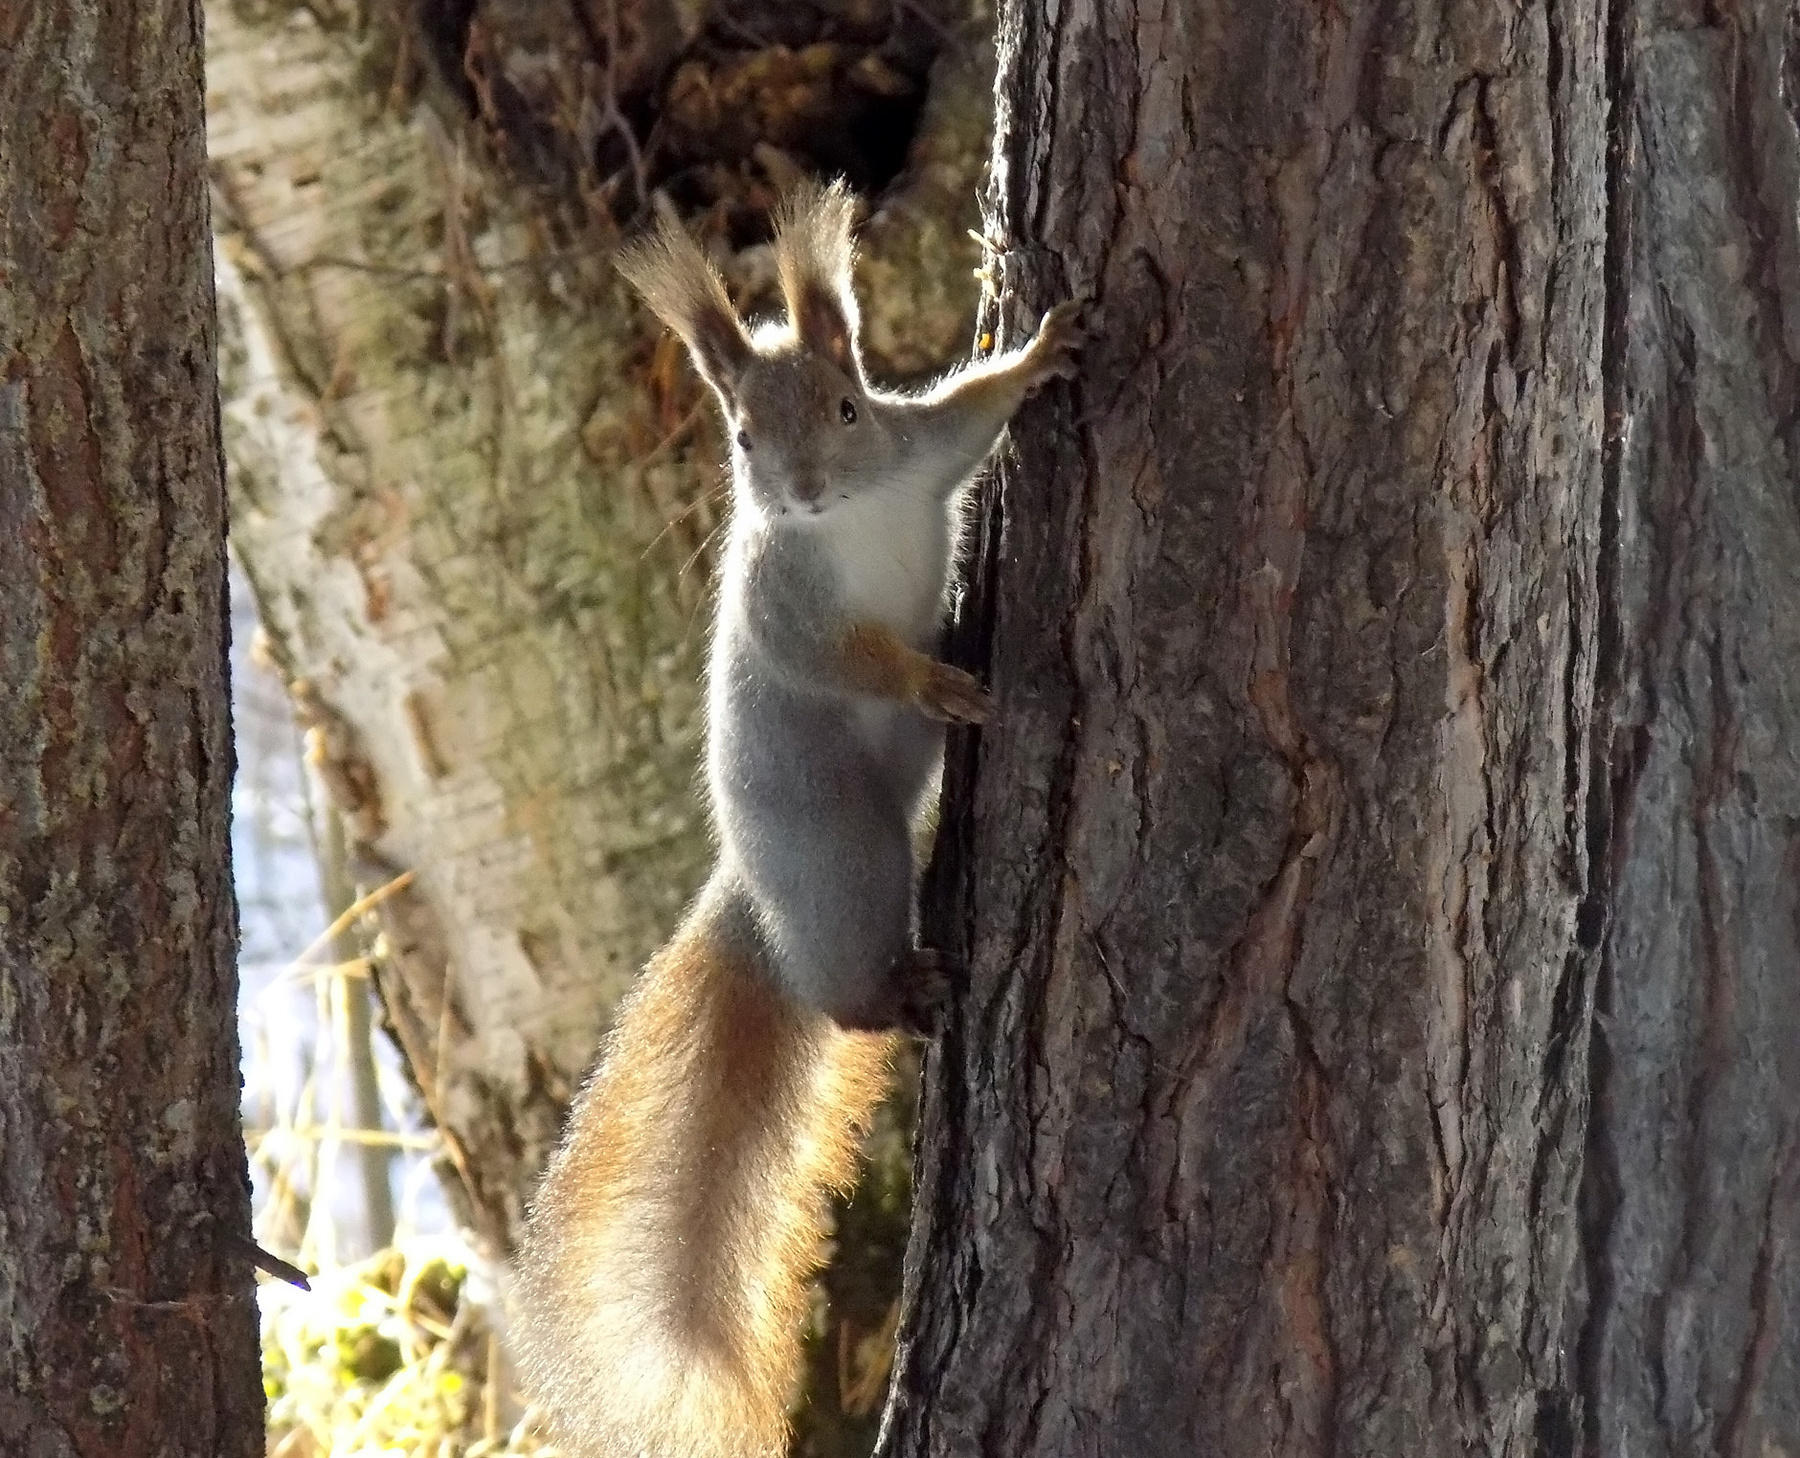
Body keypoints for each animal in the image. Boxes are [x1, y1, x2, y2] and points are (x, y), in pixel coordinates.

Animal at [512, 181, 1081, 1458]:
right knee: (850, 989)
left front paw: (1039, 350)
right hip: (845, 852)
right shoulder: (788, 607)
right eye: (740, 441)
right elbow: (843, 660)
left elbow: (974, 413)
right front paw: (931, 679)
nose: (801, 491)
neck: (852, 515)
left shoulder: (921, 451)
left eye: (847, 404)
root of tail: (756, 892)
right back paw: (900, 994)